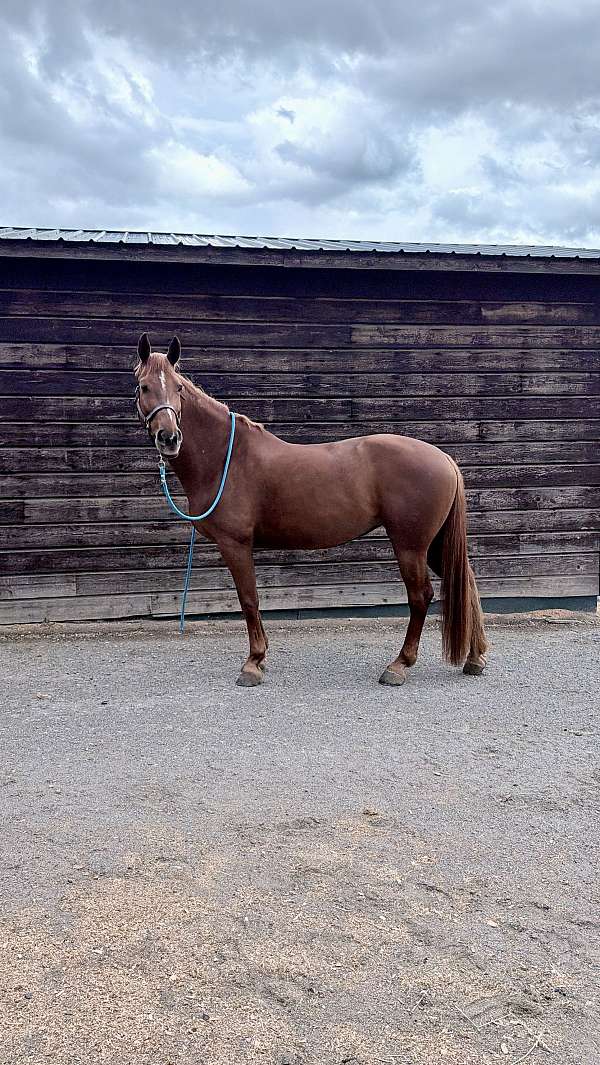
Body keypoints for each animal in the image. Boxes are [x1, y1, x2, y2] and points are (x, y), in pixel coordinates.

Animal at [133, 333, 488, 688]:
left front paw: (253, 663)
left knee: (421, 596)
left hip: (410, 545)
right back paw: (475, 658)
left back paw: (399, 665)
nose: (169, 438)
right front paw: (261, 658)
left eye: (178, 387)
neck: (225, 458)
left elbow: (249, 599)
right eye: (144, 386)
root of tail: (445, 459)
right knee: (466, 585)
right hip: (435, 544)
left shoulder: (235, 544)